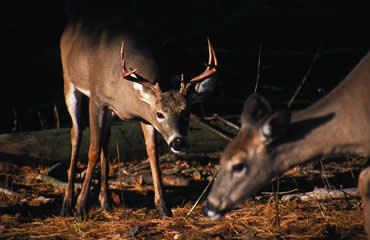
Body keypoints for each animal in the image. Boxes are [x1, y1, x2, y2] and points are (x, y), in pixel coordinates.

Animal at [60, 19, 217, 217]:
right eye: (160, 114)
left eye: (187, 112)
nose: (178, 141)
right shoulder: (97, 100)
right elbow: (92, 151)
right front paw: (80, 208)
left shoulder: (141, 117)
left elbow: (152, 153)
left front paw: (163, 208)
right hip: (68, 79)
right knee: (76, 133)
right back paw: (67, 204)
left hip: (109, 113)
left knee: (105, 141)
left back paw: (105, 203)